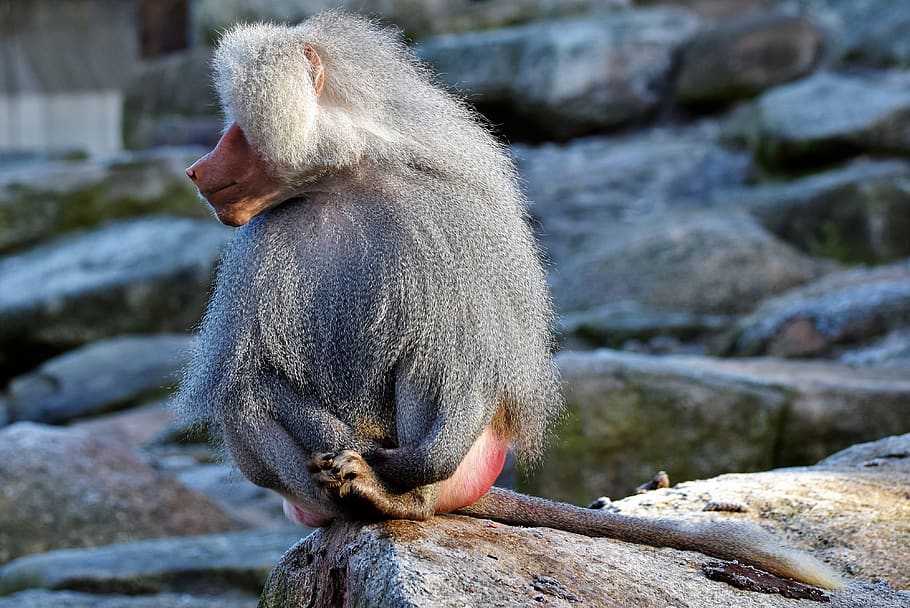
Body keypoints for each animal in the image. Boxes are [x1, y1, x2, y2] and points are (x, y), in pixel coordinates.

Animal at [177, 11, 842, 589]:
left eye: (237, 128)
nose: (195, 169)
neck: (347, 180)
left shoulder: (451, 220)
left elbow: (468, 359)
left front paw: (382, 469)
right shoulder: (256, 250)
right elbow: (252, 375)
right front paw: (335, 445)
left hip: (472, 465)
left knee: (435, 362)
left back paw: (395, 496)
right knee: (249, 404)